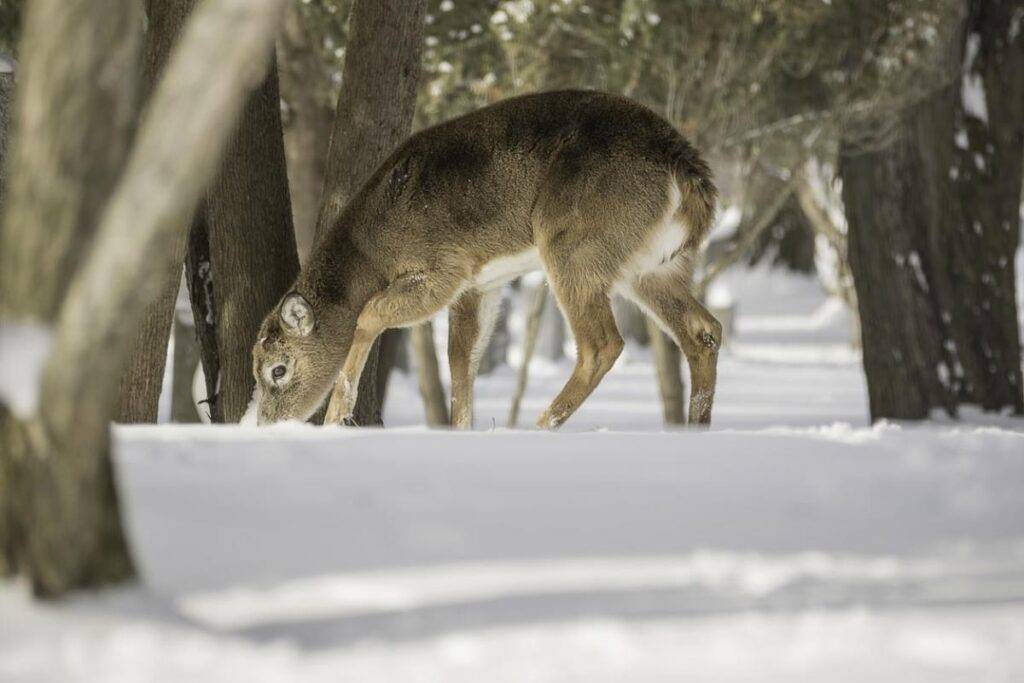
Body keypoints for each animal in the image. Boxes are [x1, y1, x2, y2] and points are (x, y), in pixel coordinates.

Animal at [253, 89, 720, 432]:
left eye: (278, 370)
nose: (265, 425)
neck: (372, 252)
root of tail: (684, 165)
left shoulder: (444, 267)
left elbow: (369, 313)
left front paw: (336, 416)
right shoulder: (479, 283)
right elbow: (460, 362)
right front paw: (461, 430)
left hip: (575, 243)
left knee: (602, 344)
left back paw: (540, 426)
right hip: (654, 265)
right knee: (703, 329)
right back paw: (696, 427)